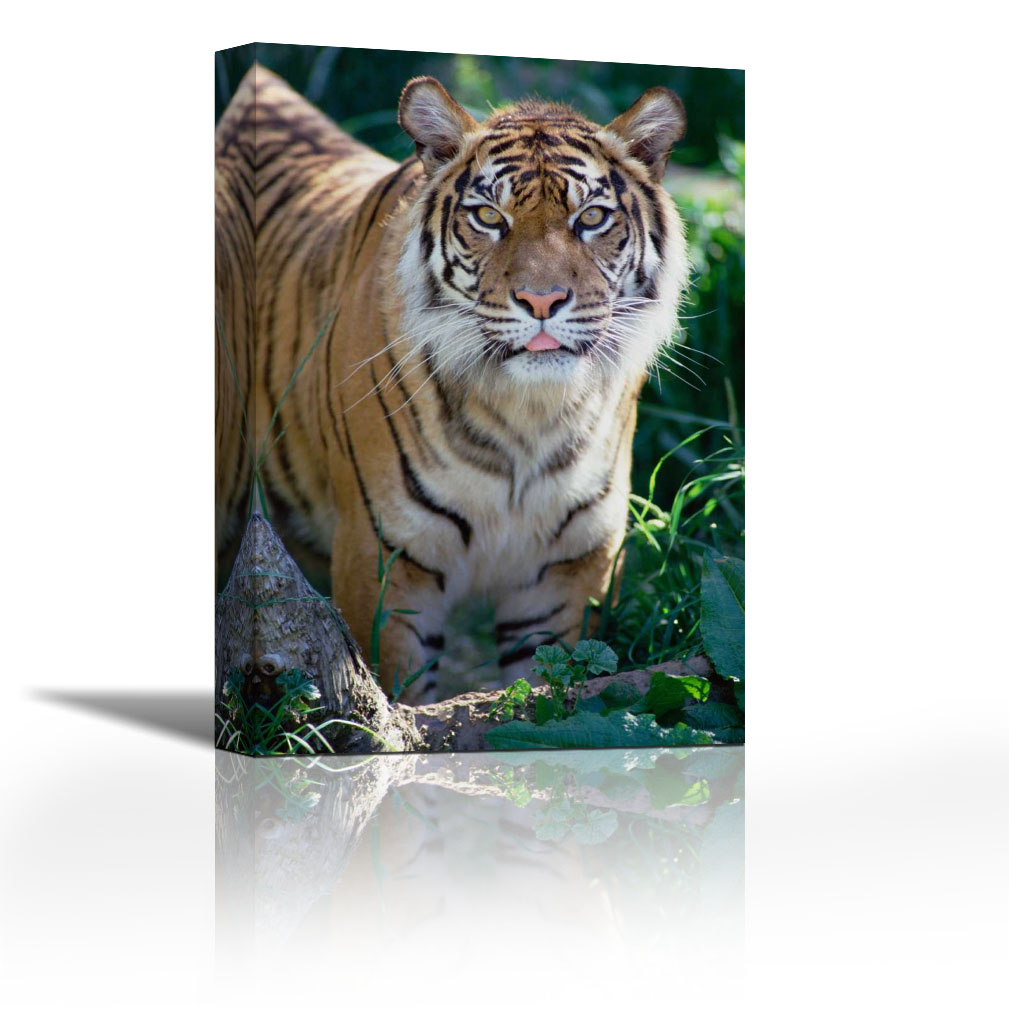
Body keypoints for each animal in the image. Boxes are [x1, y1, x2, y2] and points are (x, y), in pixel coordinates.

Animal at [215, 64, 688, 703]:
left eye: (591, 218)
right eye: (489, 217)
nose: (543, 301)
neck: (529, 416)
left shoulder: (569, 574)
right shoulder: (386, 562)